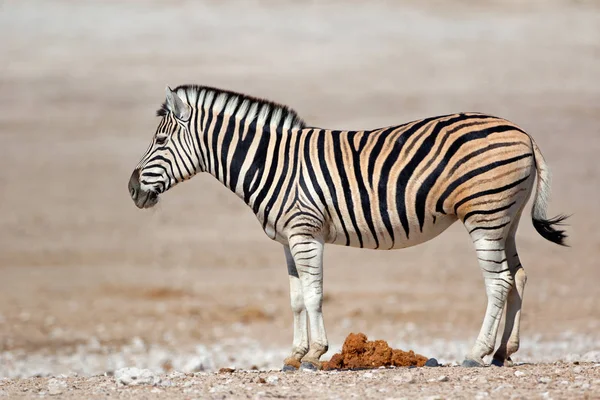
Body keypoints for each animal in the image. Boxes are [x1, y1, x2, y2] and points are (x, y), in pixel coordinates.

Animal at [126, 86, 568, 370]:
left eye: (160, 141)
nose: (131, 189)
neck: (271, 163)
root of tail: (522, 132)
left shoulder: (306, 233)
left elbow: (314, 294)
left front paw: (315, 354)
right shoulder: (288, 239)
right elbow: (296, 298)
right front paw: (293, 355)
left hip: (484, 215)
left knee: (498, 282)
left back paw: (477, 354)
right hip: (505, 218)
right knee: (518, 276)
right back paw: (503, 352)